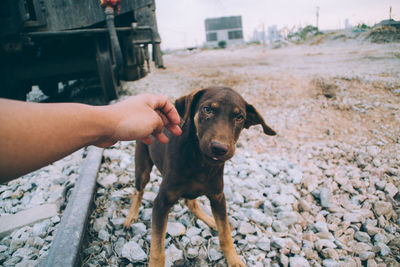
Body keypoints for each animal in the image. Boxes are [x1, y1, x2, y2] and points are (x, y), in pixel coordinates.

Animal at [123, 87, 276, 266]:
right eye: (207, 109)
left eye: (239, 117)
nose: (219, 148)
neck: (200, 162)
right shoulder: (162, 202)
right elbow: (157, 250)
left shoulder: (218, 197)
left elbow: (225, 233)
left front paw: (234, 259)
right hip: (143, 166)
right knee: (138, 191)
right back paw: (131, 216)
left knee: (191, 204)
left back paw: (210, 220)